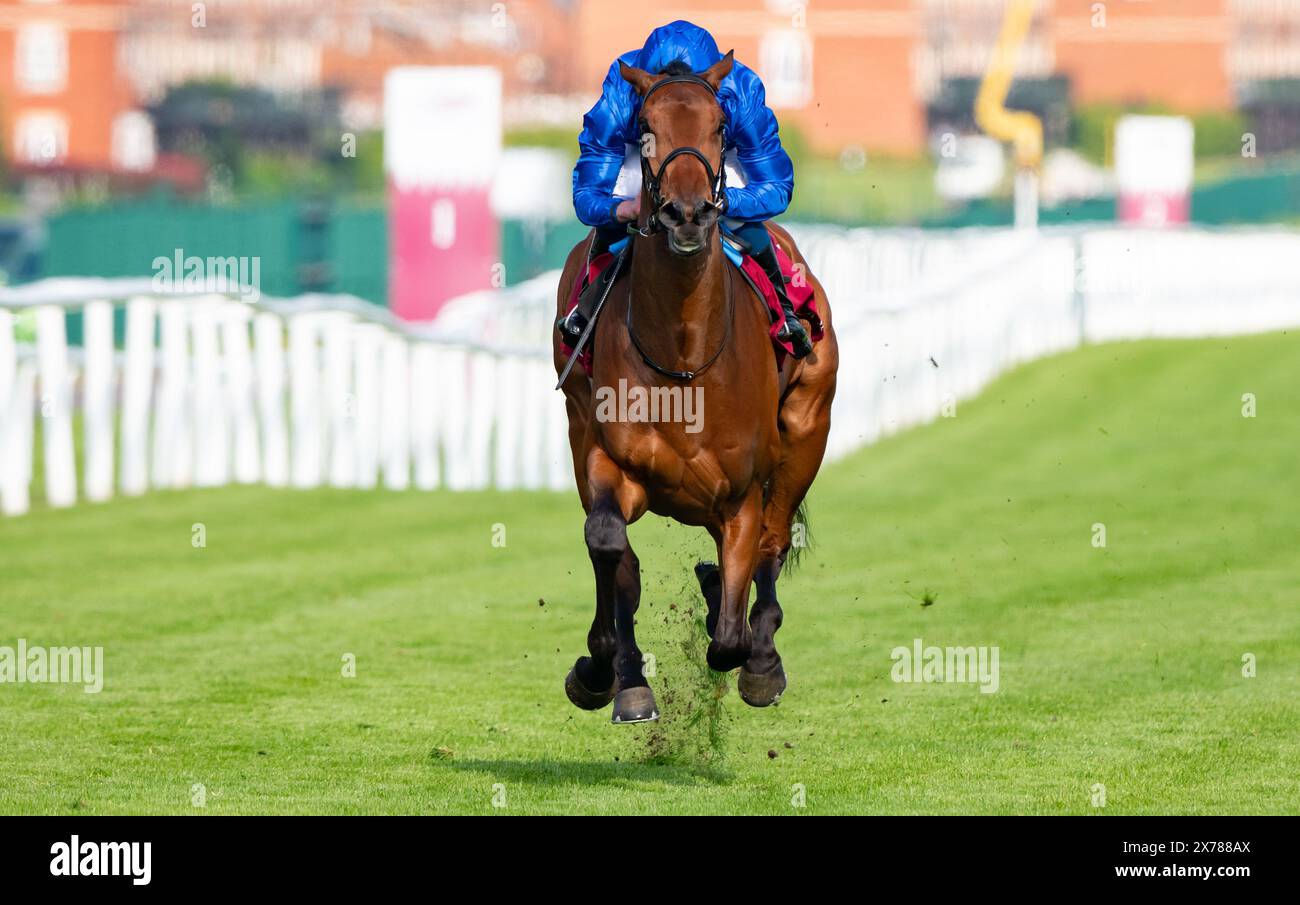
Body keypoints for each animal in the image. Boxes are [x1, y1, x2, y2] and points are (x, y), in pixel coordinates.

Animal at [551, 52, 837, 722]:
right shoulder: (608, 460)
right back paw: (630, 677)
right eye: (645, 129)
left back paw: (762, 658)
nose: (687, 213)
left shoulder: (743, 492)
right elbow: (609, 545)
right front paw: (602, 670)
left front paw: (749, 649)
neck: (684, 354)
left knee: (772, 545)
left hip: (806, 431)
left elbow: (730, 633)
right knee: (627, 564)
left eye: (720, 129)